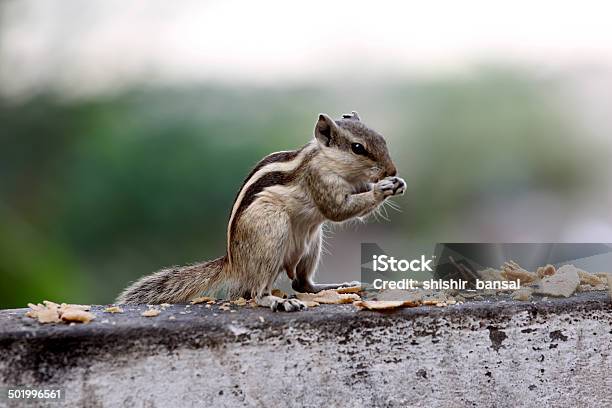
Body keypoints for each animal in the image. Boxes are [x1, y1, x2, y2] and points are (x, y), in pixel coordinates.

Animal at [119, 110, 406, 310]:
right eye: (358, 148)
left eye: (382, 139)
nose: (391, 170)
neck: (327, 161)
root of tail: (234, 262)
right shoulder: (319, 180)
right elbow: (337, 210)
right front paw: (382, 188)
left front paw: (396, 184)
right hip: (271, 232)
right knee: (257, 292)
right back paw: (276, 301)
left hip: (311, 242)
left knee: (301, 283)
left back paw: (336, 286)